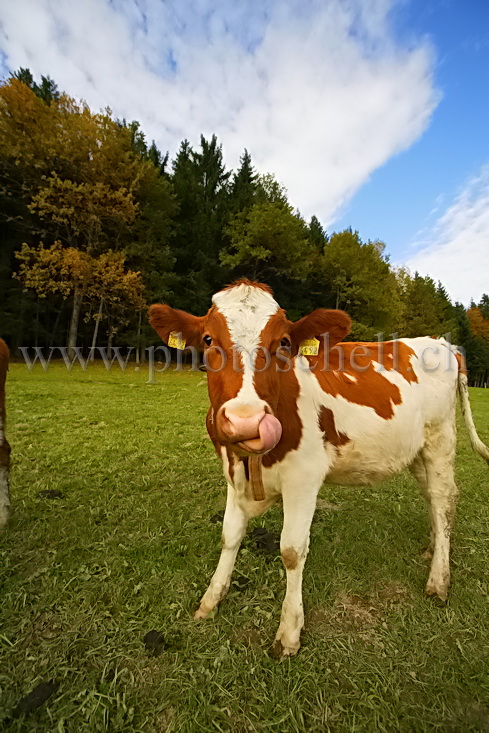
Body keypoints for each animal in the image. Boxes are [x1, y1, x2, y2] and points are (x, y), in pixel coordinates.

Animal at [149, 280, 488, 656]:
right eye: (208, 339)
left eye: (283, 342)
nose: (246, 420)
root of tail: (441, 342)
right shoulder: (233, 473)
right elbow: (230, 536)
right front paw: (211, 599)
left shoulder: (304, 478)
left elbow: (291, 551)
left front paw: (289, 631)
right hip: (416, 451)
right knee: (432, 498)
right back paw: (432, 547)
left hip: (440, 438)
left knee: (444, 499)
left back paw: (439, 578)